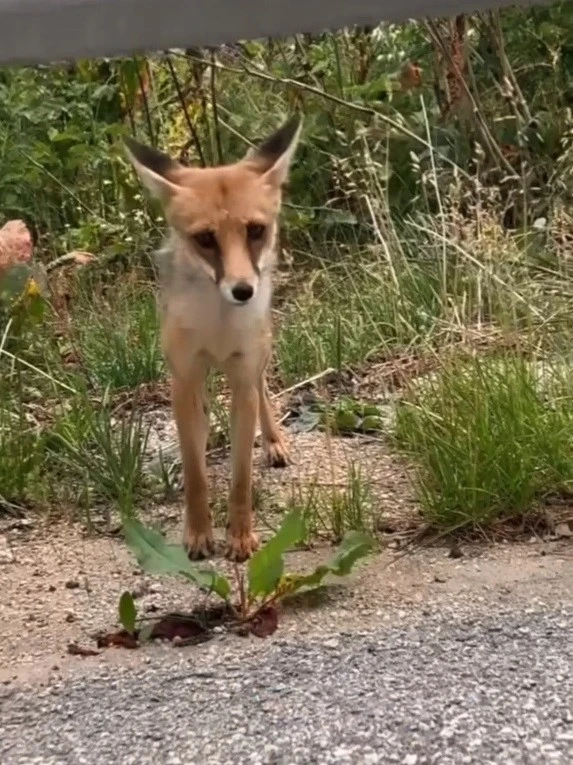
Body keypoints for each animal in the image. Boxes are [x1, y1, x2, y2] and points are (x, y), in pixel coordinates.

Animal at [124, 118, 304, 560]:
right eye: (206, 239)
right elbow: (196, 473)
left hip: (259, 356)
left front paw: (240, 536)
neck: (219, 328)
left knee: (263, 388)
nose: (242, 291)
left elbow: (241, 477)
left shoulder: (241, 380)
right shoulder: (184, 381)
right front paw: (199, 533)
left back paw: (274, 442)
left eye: (256, 231)